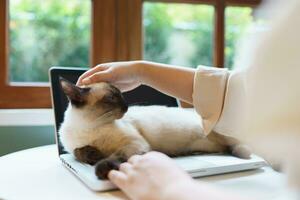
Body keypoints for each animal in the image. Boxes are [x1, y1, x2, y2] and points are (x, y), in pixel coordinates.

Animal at [58, 77, 251, 179]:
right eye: (112, 98)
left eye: (122, 96)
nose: (126, 106)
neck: (90, 127)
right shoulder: (73, 148)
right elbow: (77, 152)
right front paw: (92, 155)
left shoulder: (133, 144)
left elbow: (115, 155)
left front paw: (101, 166)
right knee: (224, 147)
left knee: (235, 143)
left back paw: (242, 153)